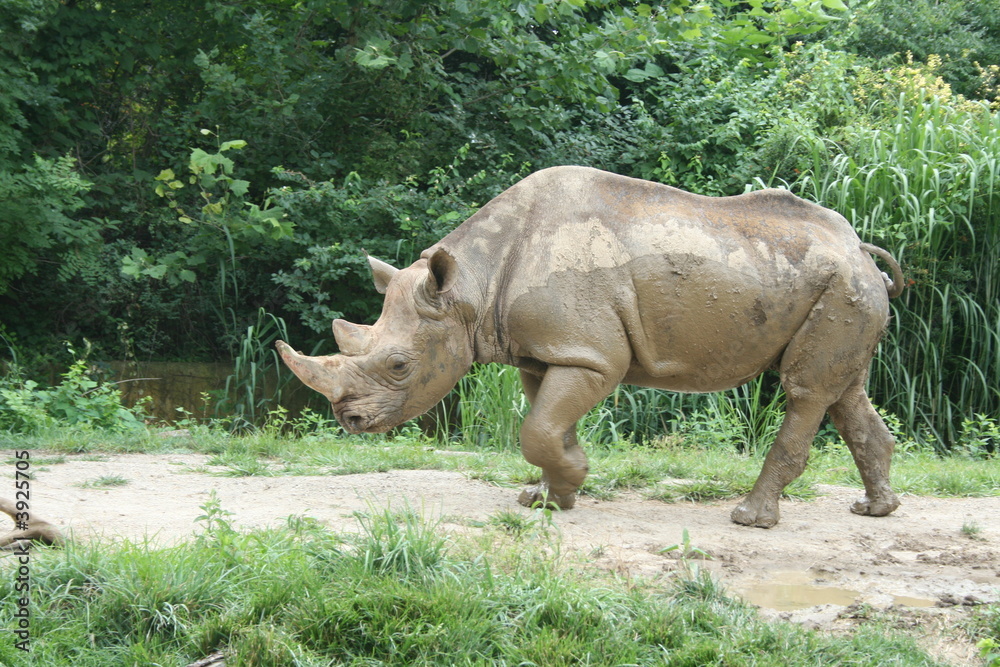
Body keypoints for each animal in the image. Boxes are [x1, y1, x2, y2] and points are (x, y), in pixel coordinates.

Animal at [277, 166, 904, 528]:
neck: (470, 288)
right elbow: (546, 424)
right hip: (840, 287)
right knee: (843, 390)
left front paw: (568, 483)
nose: (350, 421)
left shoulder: (592, 354)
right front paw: (549, 497)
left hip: (840, 285)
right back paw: (875, 510)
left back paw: (750, 519)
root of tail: (860, 248)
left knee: (805, 390)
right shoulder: (549, 351)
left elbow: (538, 429)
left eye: (399, 365)